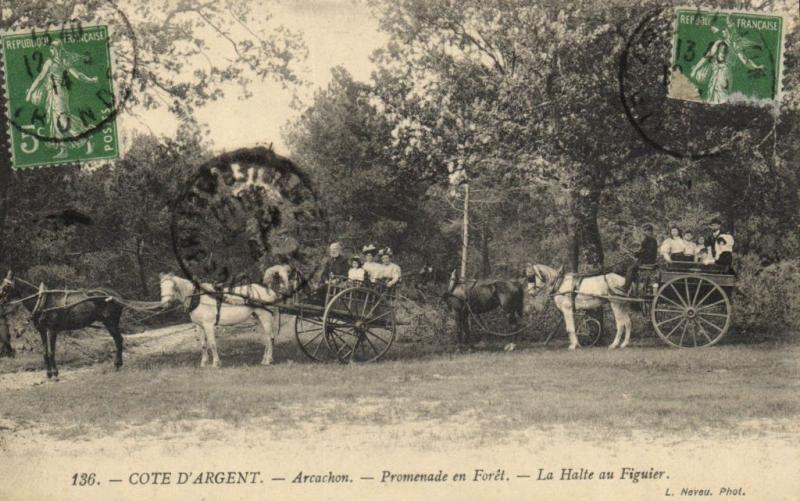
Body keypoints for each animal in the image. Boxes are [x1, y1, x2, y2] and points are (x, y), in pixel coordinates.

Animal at [159, 264, 290, 366]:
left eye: (173, 286)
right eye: (161, 286)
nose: (164, 304)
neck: (198, 298)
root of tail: (267, 289)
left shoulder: (208, 324)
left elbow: (212, 343)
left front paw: (216, 363)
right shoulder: (199, 325)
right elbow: (203, 344)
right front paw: (204, 363)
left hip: (265, 317)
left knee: (269, 337)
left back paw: (268, 360)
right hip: (258, 318)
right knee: (266, 339)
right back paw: (264, 360)